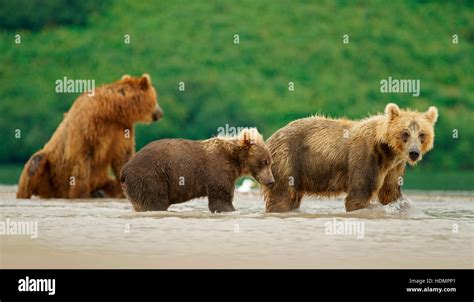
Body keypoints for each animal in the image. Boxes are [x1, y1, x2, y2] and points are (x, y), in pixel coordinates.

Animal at [16, 74, 163, 199]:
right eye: (155, 99)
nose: (160, 113)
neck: (111, 111)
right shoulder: (87, 126)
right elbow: (82, 158)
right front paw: (80, 194)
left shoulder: (121, 130)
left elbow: (122, 157)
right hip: (51, 174)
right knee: (35, 164)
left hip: (99, 179)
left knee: (109, 184)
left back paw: (101, 192)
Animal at [120, 127, 274, 212]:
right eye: (265, 161)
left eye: (270, 161)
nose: (271, 181)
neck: (235, 159)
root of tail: (124, 169)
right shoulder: (218, 170)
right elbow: (221, 199)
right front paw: (230, 209)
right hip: (151, 176)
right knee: (155, 201)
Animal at [262, 104, 438, 212]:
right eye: (405, 133)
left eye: (422, 134)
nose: (414, 152)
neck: (387, 151)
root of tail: (270, 138)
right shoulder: (366, 158)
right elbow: (359, 195)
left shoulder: (393, 167)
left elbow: (392, 194)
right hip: (287, 160)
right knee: (283, 195)